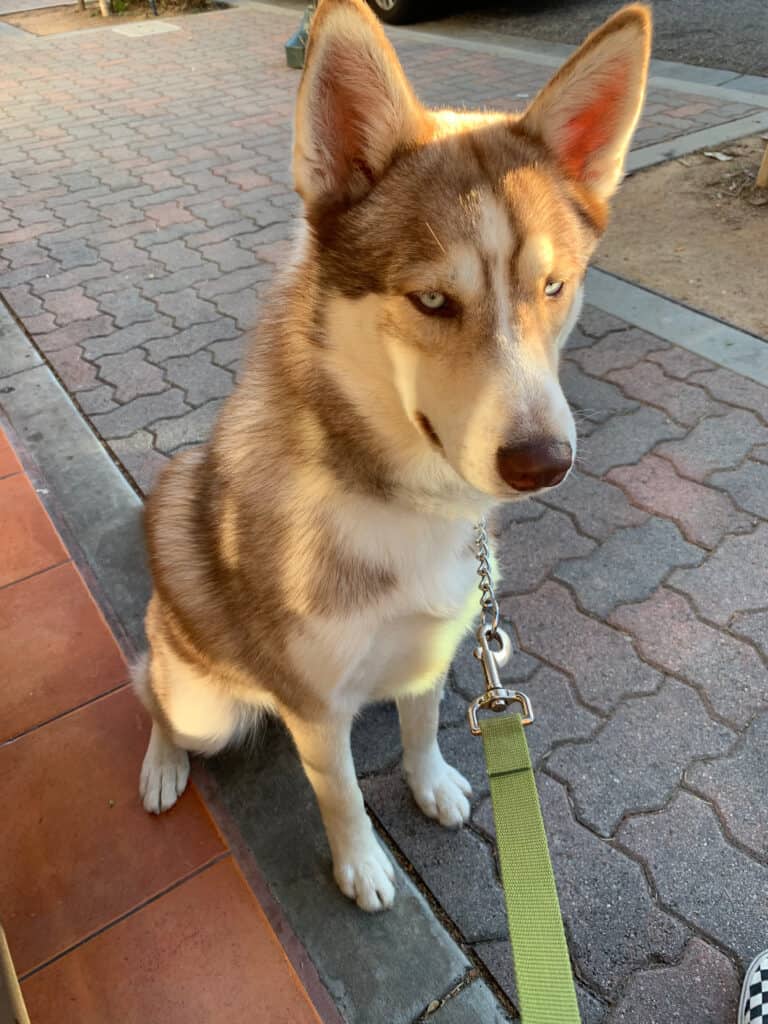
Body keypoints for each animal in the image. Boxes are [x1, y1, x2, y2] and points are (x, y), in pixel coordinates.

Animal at [135, 0, 651, 913]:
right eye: (433, 300)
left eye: (553, 288)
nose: (543, 462)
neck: (400, 505)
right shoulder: (314, 708)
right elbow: (339, 792)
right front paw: (363, 867)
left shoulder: (434, 649)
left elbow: (419, 727)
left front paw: (431, 782)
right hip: (202, 702)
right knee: (153, 696)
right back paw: (161, 763)